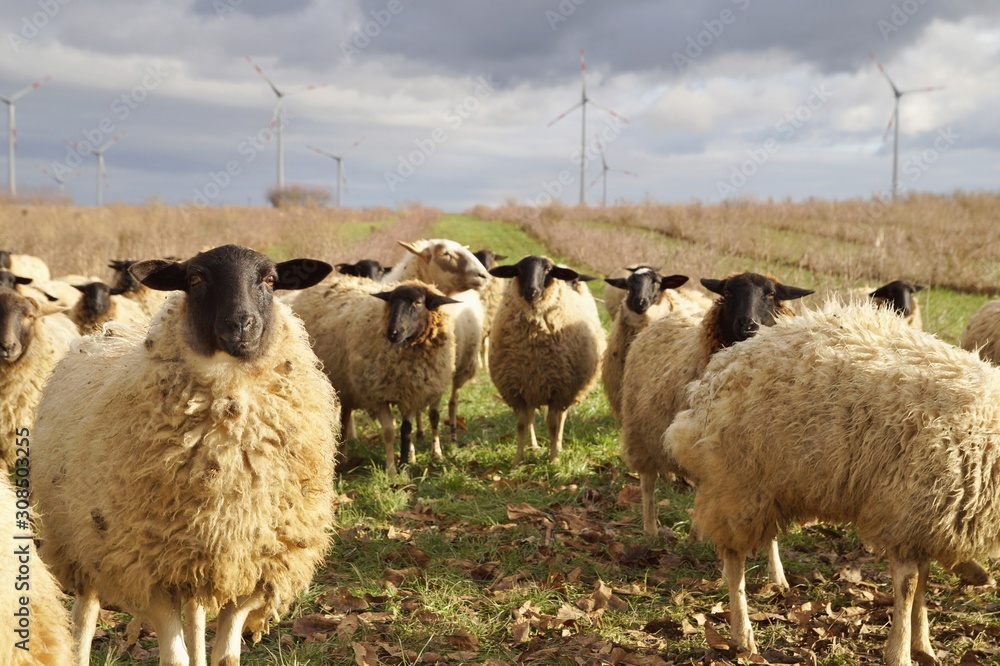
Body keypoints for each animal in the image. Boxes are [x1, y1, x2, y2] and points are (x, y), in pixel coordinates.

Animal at [31, 244, 337, 666]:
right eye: (195, 279)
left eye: (271, 280)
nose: (242, 325)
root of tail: (103, 332)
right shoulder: (145, 566)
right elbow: (173, 657)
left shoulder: (250, 564)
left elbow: (226, 656)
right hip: (81, 540)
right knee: (87, 611)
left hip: (193, 557)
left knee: (194, 613)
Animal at [296, 278, 458, 476]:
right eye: (391, 301)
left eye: (418, 303)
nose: (393, 333)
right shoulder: (377, 395)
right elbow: (389, 431)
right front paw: (391, 470)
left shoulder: (411, 393)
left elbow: (406, 430)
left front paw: (404, 464)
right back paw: (342, 458)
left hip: (348, 385)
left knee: (346, 416)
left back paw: (344, 456)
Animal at [488, 255, 606, 465]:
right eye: (519, 269)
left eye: (548, 270)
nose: (531, 291)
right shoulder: (518, 389)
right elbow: (521, 424)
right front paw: (517, 460)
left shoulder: (557, 390)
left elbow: (552, 424)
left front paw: (553, 459)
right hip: (531, 386)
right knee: (531, 418)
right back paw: (534, 446)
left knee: (561, 419)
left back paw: (557, 446)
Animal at [664, 303, 1000, 666]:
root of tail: (716, 372)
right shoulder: (904, 507)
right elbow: (909, 586)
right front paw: (899, 653)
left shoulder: (919, 520)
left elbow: (922, 582)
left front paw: (922, 646)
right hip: (737, 485)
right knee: (733, 562)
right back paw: (743, 636)